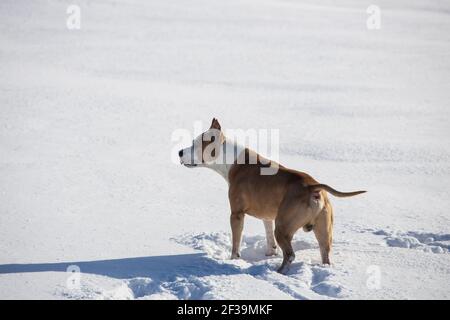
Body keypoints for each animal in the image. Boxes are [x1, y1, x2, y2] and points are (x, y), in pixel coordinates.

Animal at [178, 119, 364, 274]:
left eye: (195, 144)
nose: (179, 152)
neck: (230, 161)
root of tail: (312, 186)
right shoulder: (267, 215)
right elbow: (268, 234)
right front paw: (269, 253)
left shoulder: (237, 214)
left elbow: (236, 241)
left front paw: (234, 259)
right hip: (323, 229)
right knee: (324, 251)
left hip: (283, 227)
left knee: (290, 254)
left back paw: (279, 271)